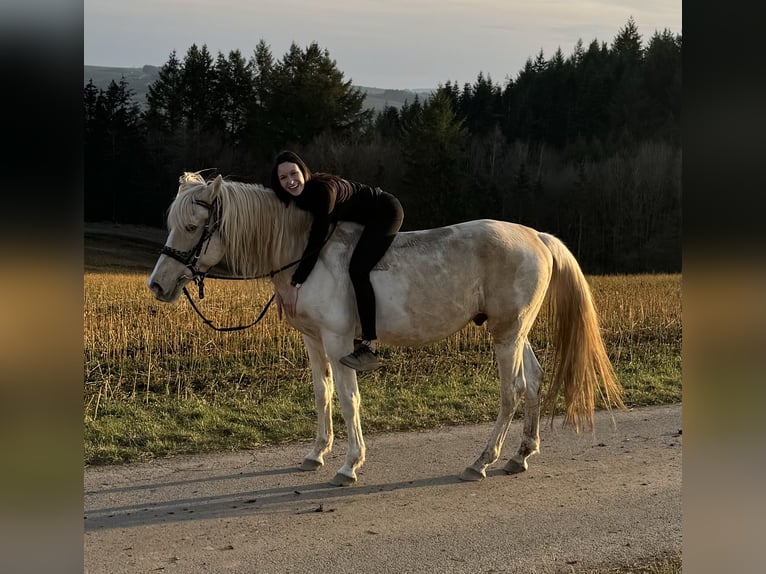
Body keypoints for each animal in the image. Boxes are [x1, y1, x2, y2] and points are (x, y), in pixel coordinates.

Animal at [148, 174, 624, 486]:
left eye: (191, 226)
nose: (157, 285)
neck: (305, 253)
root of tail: (538, 237)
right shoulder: (312, 340)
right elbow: (321, 394)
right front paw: (316, 453)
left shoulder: (339, 340)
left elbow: (348, 397)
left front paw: (349, 464)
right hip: (516, 332)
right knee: (534, 382)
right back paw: (521, 456)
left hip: (506, 336)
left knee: (512, 393)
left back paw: (482, 461)